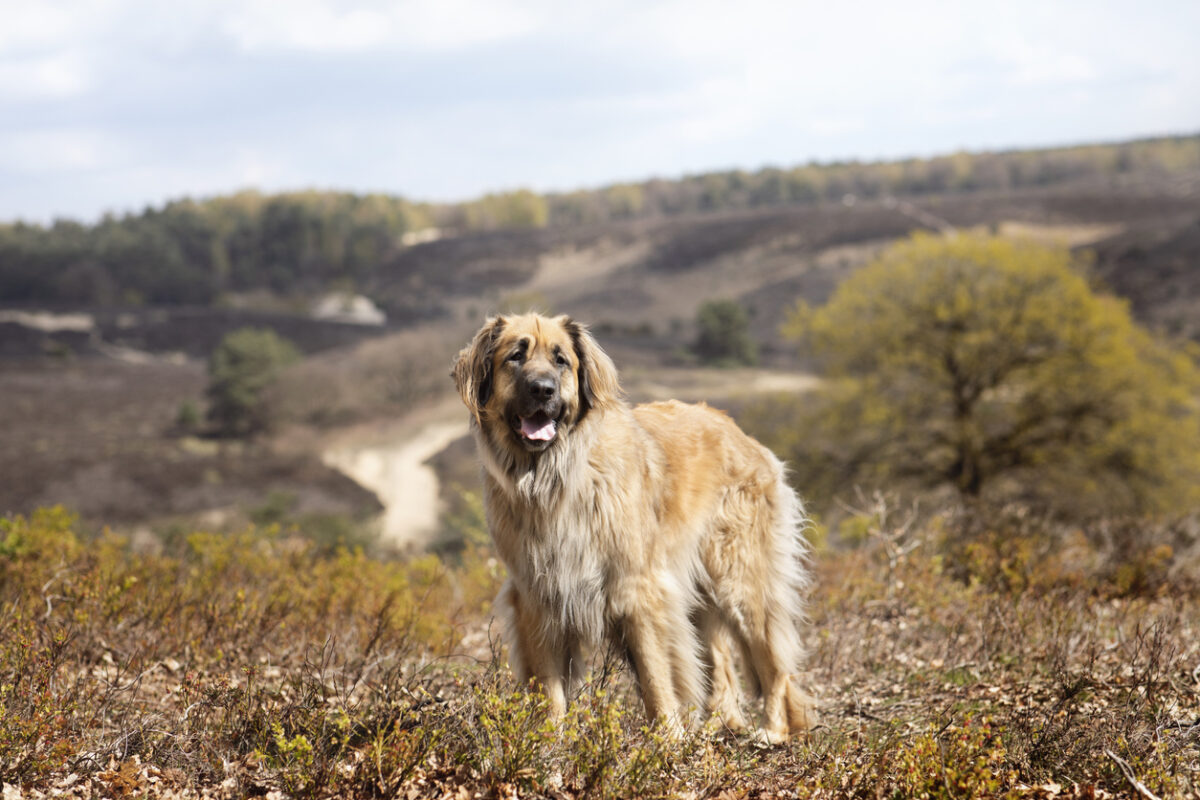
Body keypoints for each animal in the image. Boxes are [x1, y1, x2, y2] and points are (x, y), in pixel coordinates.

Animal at [451, 314, 816, 743]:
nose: (543, 390)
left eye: (561, 361)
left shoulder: (638, 589)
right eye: (515, 356)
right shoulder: (537, 596)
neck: (558, 477)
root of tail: (741, 435)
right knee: (722, 663)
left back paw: (771, 730)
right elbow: (549, 684)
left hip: (739, 582)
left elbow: (656, 675)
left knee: (773, 662)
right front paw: (548, 743)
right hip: (698, 592)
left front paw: (668, 741)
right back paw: (718, 725)